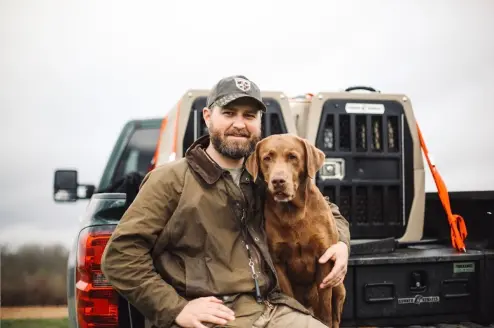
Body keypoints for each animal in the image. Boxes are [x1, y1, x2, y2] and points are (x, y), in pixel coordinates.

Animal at [245, 133, 346, 328]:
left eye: (292, 157)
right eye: (267, 158)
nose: (278, 181)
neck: (293, 214)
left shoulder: (324, 260)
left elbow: (325, 310)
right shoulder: (278, 263)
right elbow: (291, 298)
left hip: (339, 287)